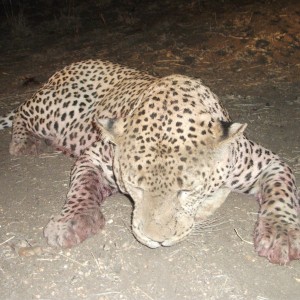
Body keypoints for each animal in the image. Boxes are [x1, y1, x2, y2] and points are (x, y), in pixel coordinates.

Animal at [0, 59, 298, 264]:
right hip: (58, 110)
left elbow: (282, 195)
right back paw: (24, 144)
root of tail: (69, 66)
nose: (157, 240)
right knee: (22, 111)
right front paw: (70, 222)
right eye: (136, 186)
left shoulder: (270, 163)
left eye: (186, 191)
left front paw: (280, 236)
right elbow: (81, 188)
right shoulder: (94, 158)